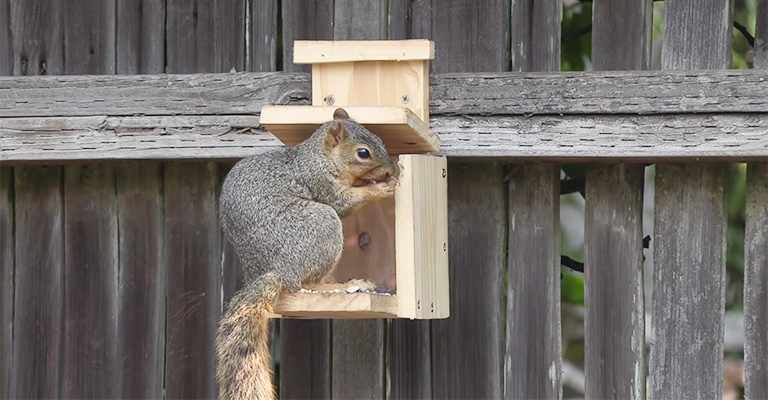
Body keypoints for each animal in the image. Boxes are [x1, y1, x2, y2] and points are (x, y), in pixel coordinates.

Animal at [214, 108, 396, 398]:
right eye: (363, 153)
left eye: (380, 138)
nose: (390, 169)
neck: (320, 156)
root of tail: (278, 272)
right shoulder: (322, 182)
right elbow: (345, 203)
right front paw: (381, 187)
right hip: (322, 225)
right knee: (311, 283)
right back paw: (342, 285)